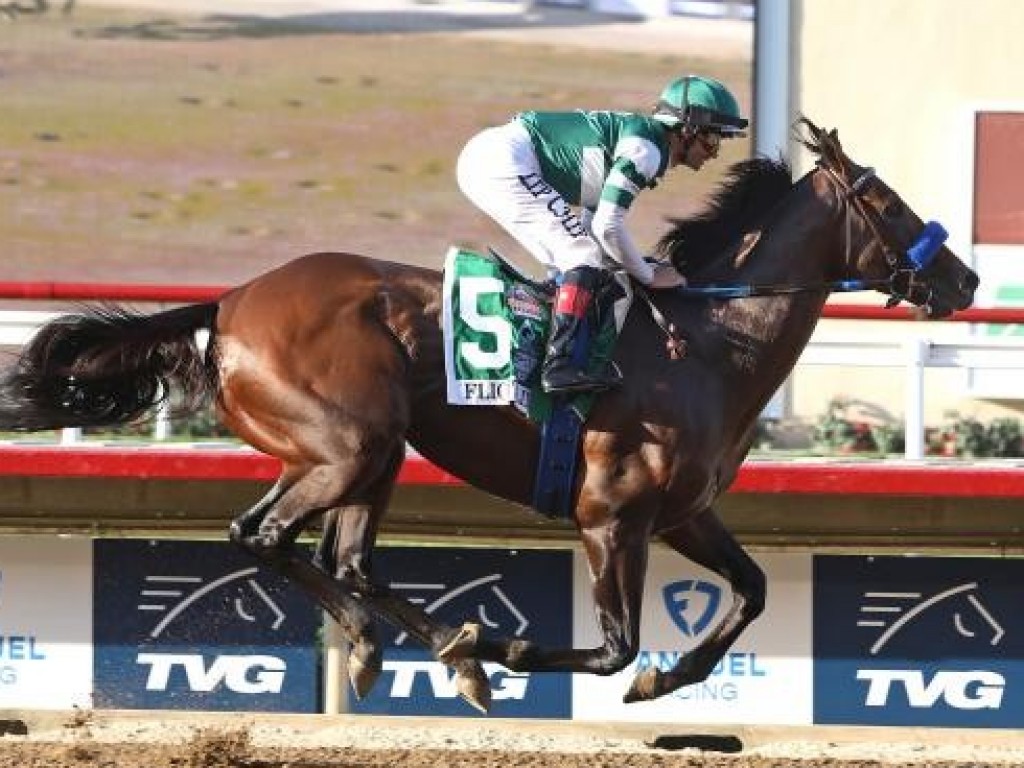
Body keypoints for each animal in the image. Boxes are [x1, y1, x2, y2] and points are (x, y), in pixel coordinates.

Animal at [0, 117, 978, 712]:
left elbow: (753, 592)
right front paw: (514, 649)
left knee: (339, 558)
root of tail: (232, 301)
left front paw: (669, 681)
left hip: (371, 454)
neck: (707, 343)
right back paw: (442, 647)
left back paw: (410, 646)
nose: (965, 278)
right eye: (888, 203)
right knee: (268, 538)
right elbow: (615, 646)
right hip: (348, 446)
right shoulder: (611, 518)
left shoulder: (683, 515)